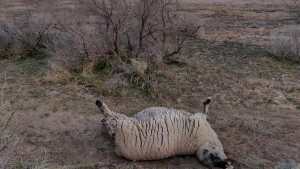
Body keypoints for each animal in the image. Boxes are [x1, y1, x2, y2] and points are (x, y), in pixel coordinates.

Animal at [95, 98, 232, 168]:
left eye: (214, 159)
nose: (224, 163)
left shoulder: (199, 120)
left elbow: (205, 112)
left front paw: (207, 102)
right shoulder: (199, 118)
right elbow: (205, 112)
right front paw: (207, 102)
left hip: (122, 122)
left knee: (109, 116)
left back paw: (100, 106)